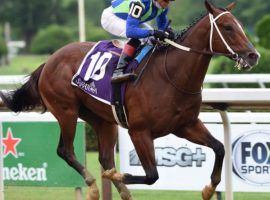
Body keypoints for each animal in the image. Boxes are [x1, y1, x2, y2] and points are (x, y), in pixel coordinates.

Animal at [0, 1, 262, 200]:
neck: (172, 75)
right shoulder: (139, 131)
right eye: (227, 27)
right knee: (65, 150)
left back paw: (121, 189)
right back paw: (94, 185)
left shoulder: (185, 125)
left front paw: (208, 189)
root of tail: (49, 61)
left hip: (102, 118)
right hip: (66, 111)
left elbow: (219, 148)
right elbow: (152, 175)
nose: (253, 55)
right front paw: (116, 176)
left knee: (105, 157)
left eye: (239, 25)